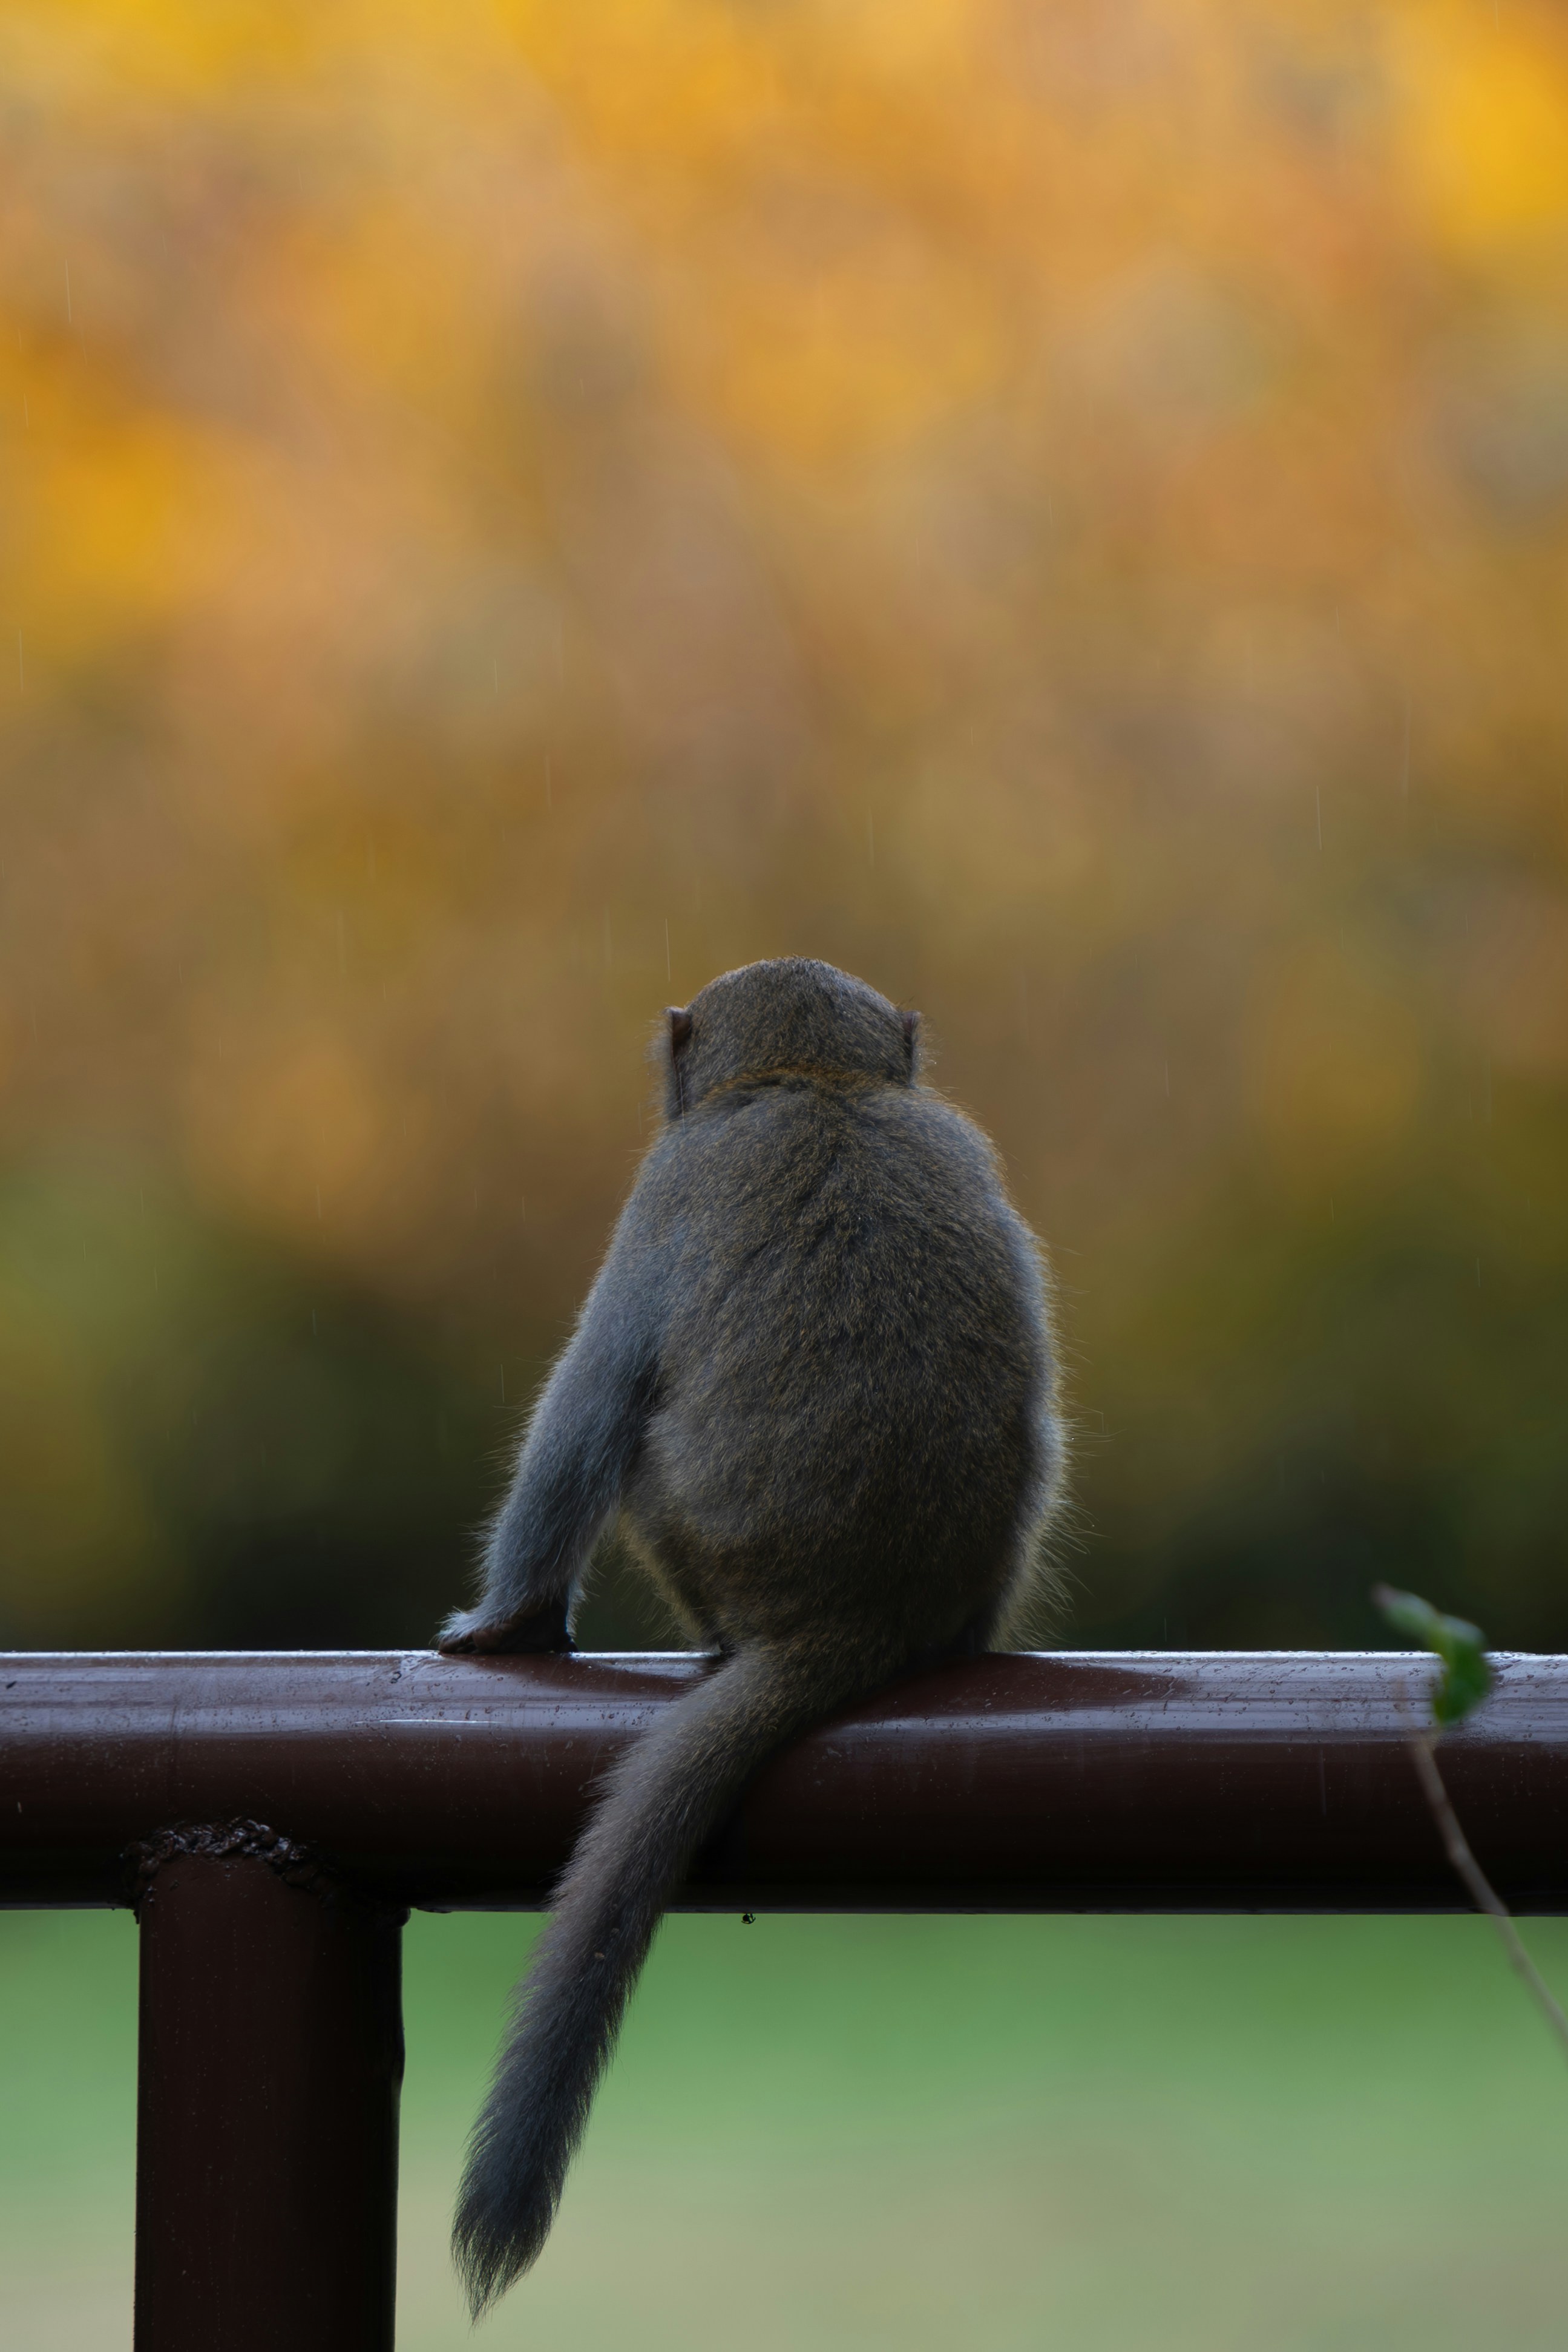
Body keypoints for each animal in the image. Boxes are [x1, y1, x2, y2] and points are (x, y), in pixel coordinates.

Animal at [437, 955, 1064, 2317]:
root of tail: (854, 1621)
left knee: (625, 1441)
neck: (811, 1081)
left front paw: (507, 1621)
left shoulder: (665, 1188)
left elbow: (588, 1402)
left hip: (688, 1532)